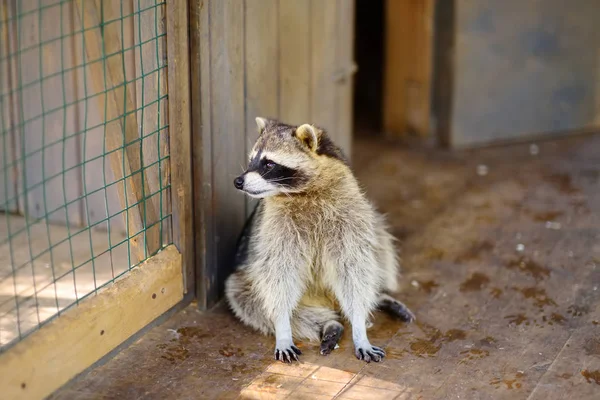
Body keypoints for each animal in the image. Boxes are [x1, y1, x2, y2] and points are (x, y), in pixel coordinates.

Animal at [223, 117, 414, 364]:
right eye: (252, 160)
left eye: (268, 164)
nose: (238, 181)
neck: (306, 190)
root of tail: (327, 301)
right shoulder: (275, 225)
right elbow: (279, 274)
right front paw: (283, 329)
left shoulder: (349, 210)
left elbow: (354, 268)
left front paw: (360, 326)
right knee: (245, 296)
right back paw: (328, 324)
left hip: (368, 223)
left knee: (379, 240)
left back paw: (377, 297)